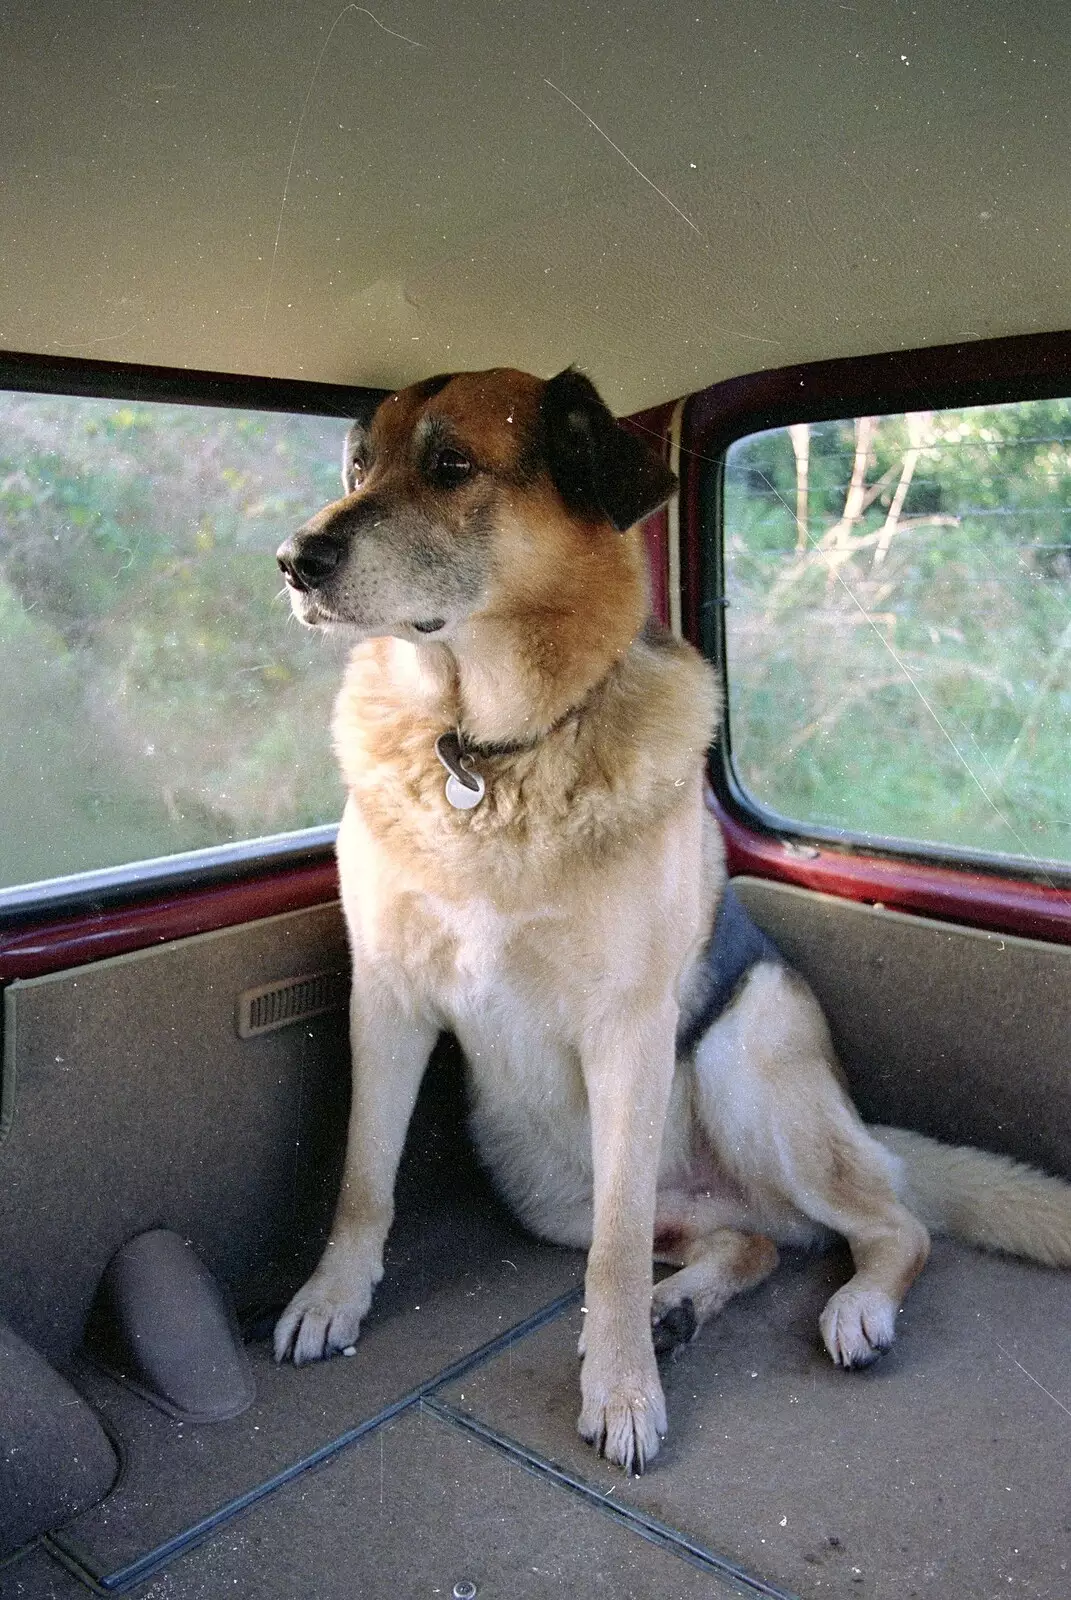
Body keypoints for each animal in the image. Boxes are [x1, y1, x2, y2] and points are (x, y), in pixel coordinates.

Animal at [273, 368, 1069, 1465]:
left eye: (451, 465)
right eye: (357, 468)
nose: (292, 561)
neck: (486, 751)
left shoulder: (628, 1032)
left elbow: (611, 1256)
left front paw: (621, 1390)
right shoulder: (386, 1001)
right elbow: (364, 1174)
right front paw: (332, 1297)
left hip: (745, 1058)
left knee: (889, 1226)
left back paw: (855, 1308)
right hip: (547, 1186)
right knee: (755, 1240)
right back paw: (682, 1303)